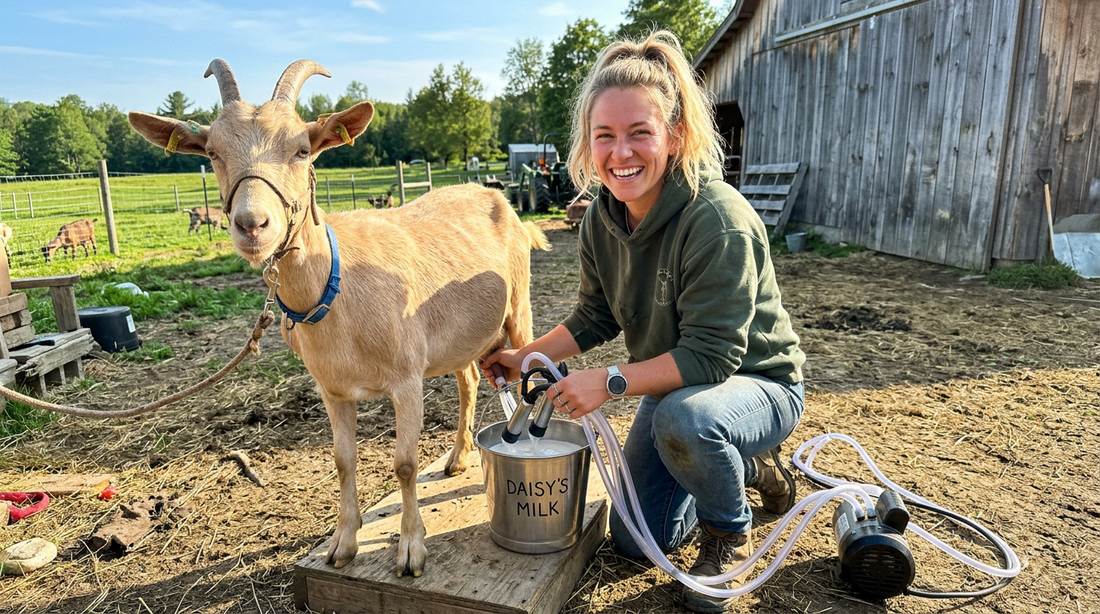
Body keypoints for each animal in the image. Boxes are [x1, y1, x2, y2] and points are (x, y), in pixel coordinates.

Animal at [128, 59, 550, 577]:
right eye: (212, 152)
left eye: (302, 149)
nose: (252, 225)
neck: (339, 288)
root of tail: (501, 199)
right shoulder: (331, 389)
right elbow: (343, 461)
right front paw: (342, 544)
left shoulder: (405, 378)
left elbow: (405, 464)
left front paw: (411, 550)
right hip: (461, 338)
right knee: (468, 379)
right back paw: (456, 458)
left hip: (519, 307)